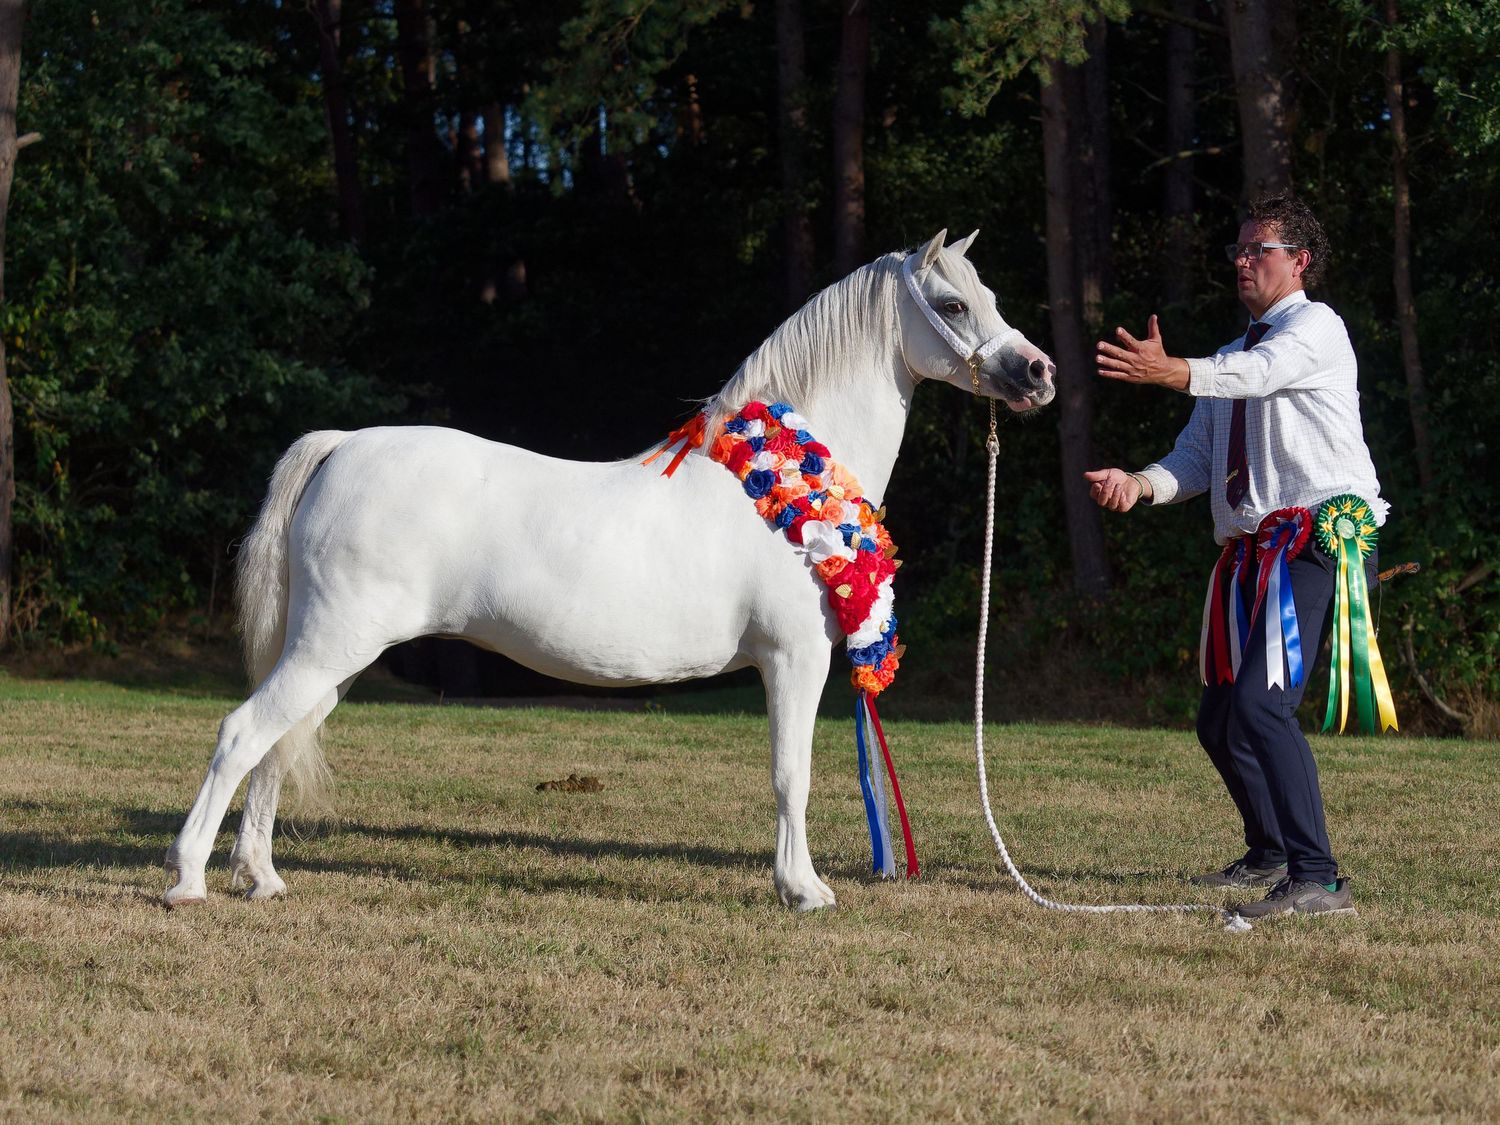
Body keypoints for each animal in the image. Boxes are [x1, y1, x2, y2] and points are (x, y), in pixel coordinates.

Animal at [163, 229, 1056, 912]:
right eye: (953, 305)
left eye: (989, 295)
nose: (1038, 372)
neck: (783, 486)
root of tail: (343, 443)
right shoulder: (794, 660)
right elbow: (790, 775)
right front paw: (802, 889)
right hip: (331, 647)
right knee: (242, 733)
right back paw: (186, 881)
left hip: (333, 658)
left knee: (275, 747)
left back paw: (263, 878)